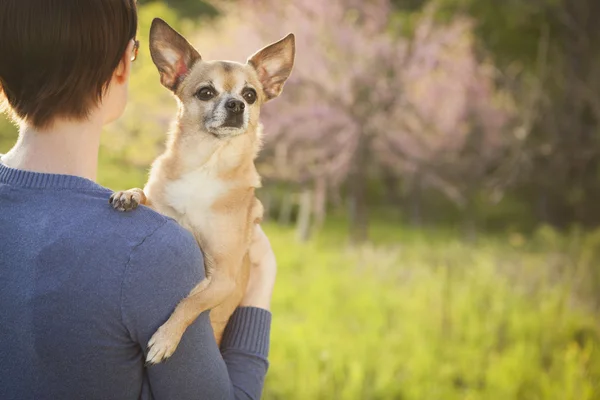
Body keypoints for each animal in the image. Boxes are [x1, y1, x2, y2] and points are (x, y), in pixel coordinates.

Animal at [110, 18, 296, 362]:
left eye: (251, 95)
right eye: (206, 92)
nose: (237, 104)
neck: (207, 163)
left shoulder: (222, 277)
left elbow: (191, 301)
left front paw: (166, 338)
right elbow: (147, 196)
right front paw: (130, 194)